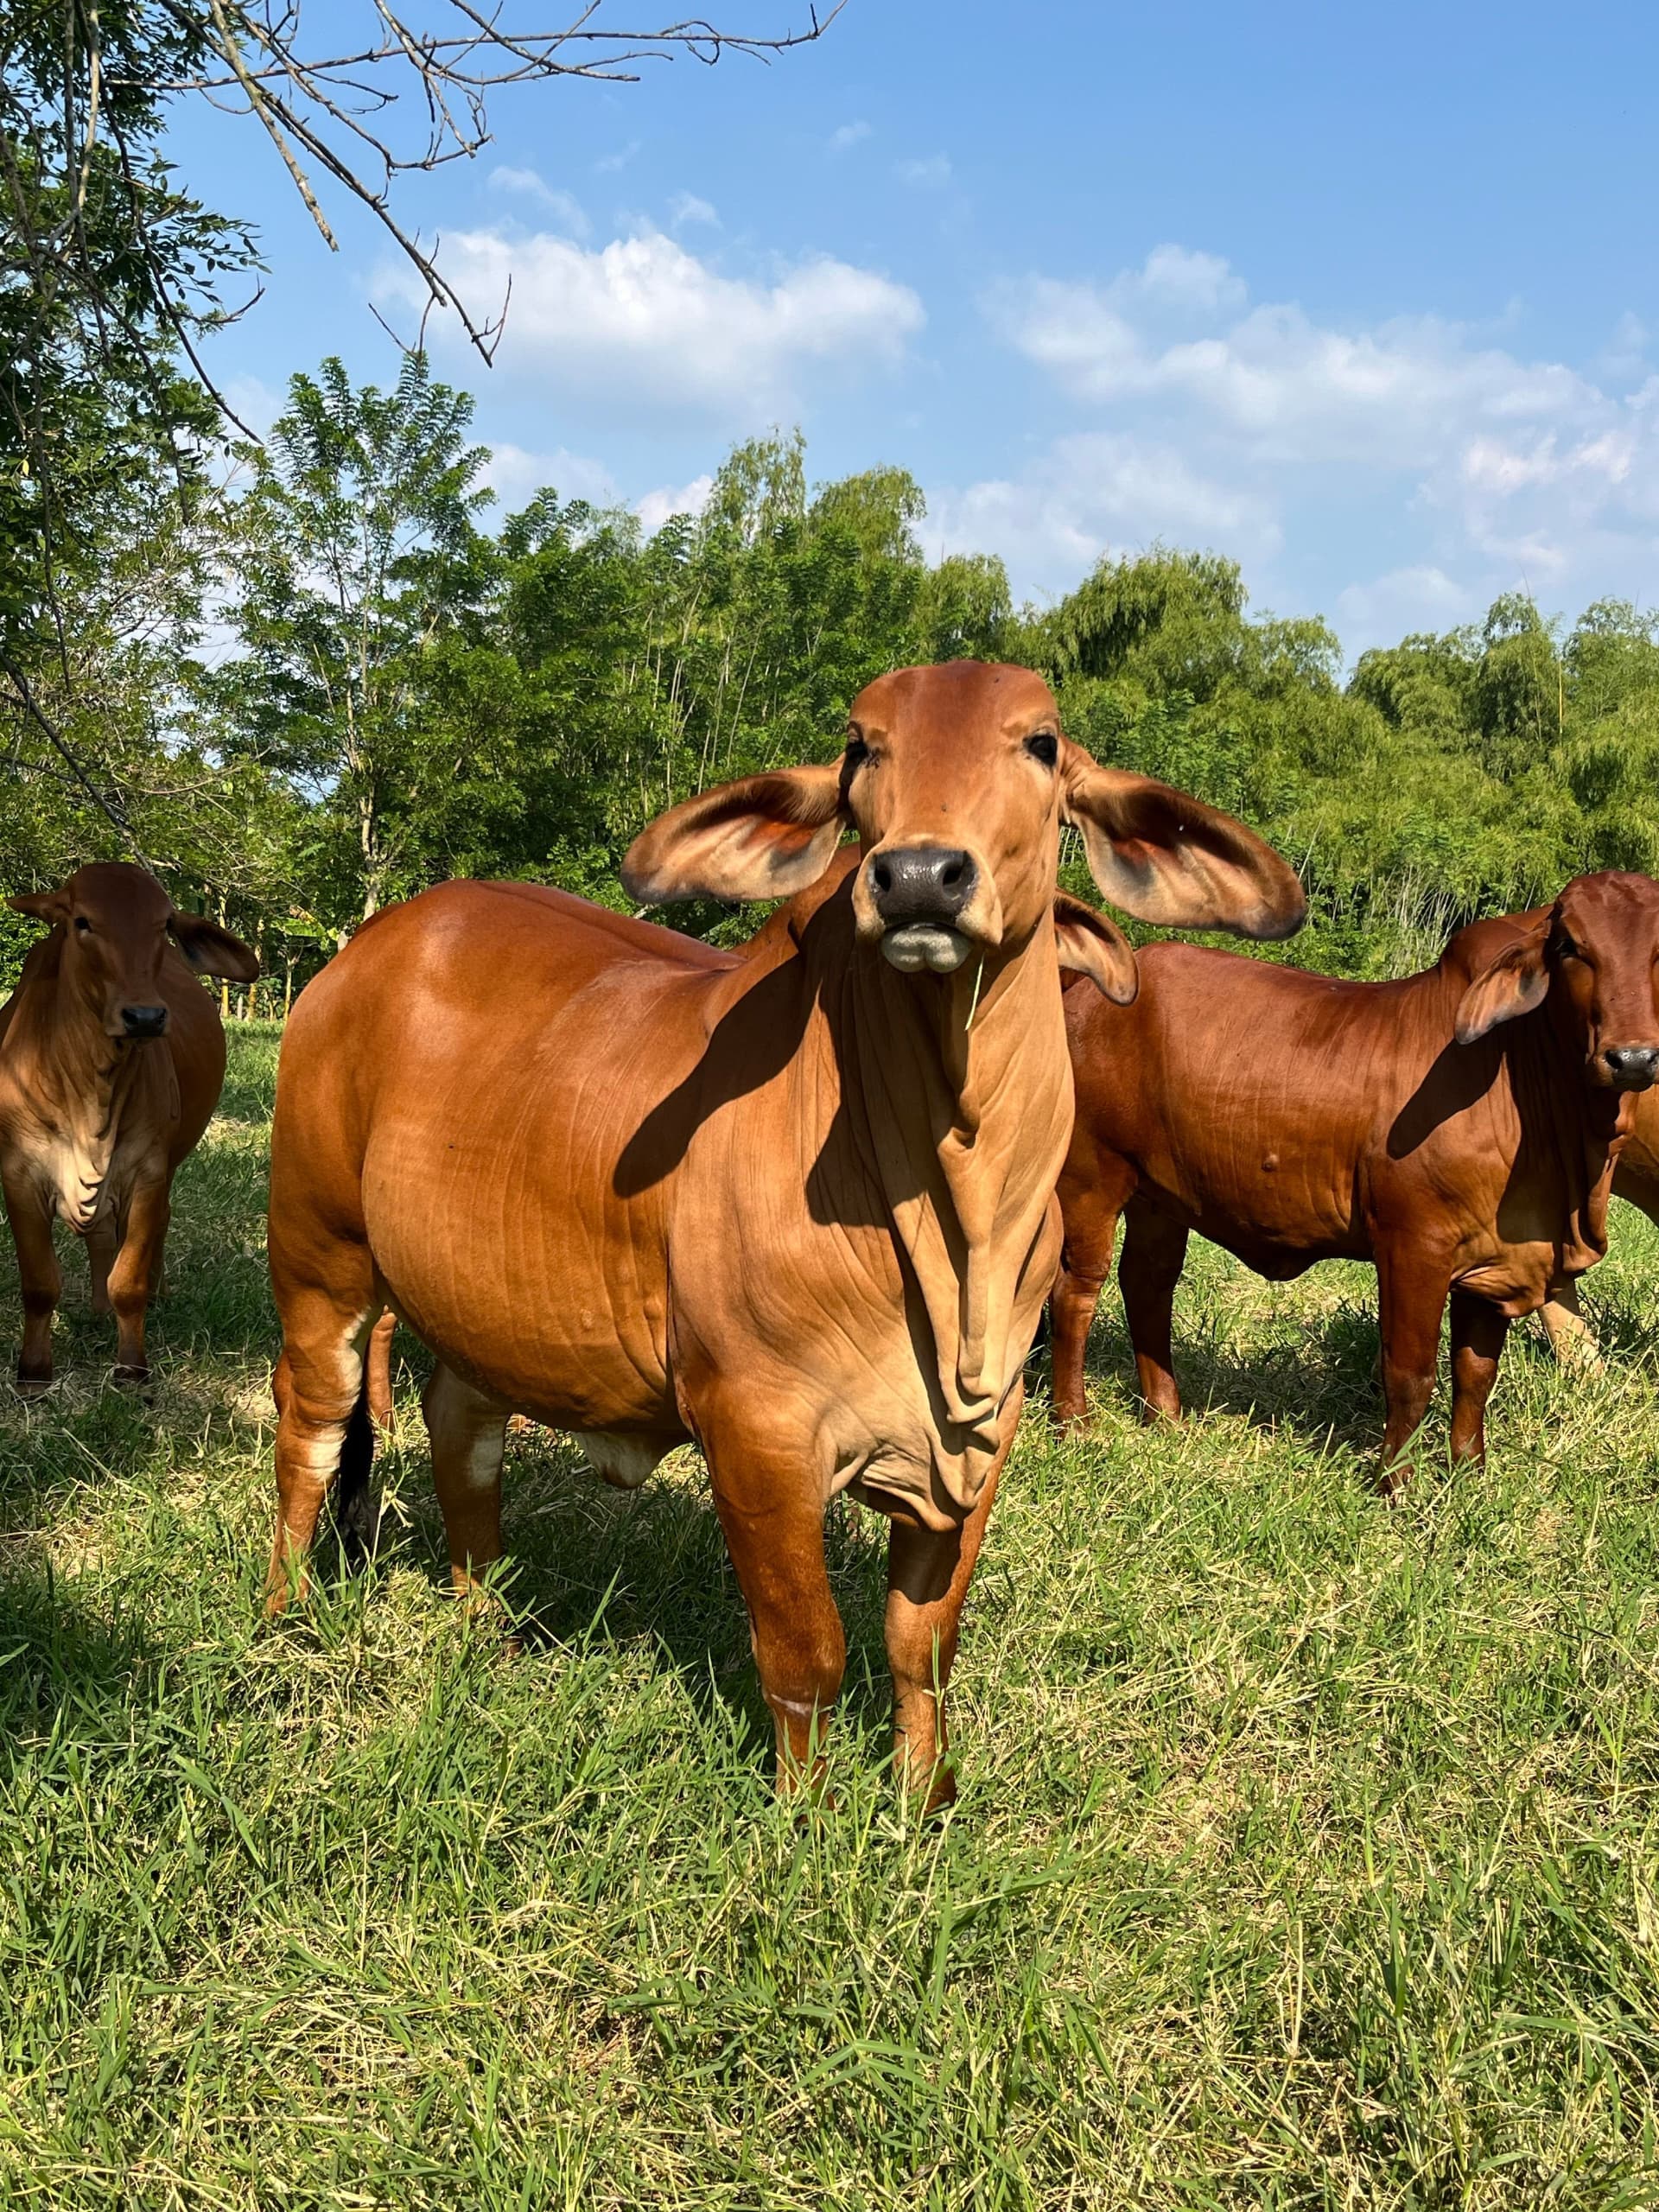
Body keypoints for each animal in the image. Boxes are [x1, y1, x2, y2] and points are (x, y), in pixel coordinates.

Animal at [1, 863, 259, 1394]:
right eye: (82, 921)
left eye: (163, 926)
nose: (145, 1016)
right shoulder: (17, 1174)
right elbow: (39, 1283)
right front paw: (34, 1371)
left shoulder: (148, 1172)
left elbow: (129, 1280)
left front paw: (132, 1367)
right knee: (101, 1236)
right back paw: (98, 1308)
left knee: (155, 1225)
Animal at [265, 659, 1305, 1807]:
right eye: (861, 748)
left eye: (1041, 743)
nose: (920, 877)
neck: (954, 1215)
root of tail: (366, 946)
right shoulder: (756, 1430)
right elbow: (807, 1651)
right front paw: (806, 1813)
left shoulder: (986, 1435)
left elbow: (920, 1644)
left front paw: (925, 1799)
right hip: (319, 1255)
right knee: (311, 1429)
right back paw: (279, 1621)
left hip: (478, 1303)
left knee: (462, 1427)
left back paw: (483, 1628)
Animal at [1050, 872, 1659, 1488]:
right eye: (1569, 946)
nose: (1632, 1059)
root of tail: (1088, 987)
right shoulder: (1413, 1246)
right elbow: (1410, 1374)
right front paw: (1398, 1484)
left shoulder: (1493, 1260)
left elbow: (1475, 1372)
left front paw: (1469, 1473)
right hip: (1090, 1178)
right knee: (1075, 1291)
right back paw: (1074, 1423)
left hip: (1160, 1198)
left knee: (1147, 1283)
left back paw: (1167, 1416)